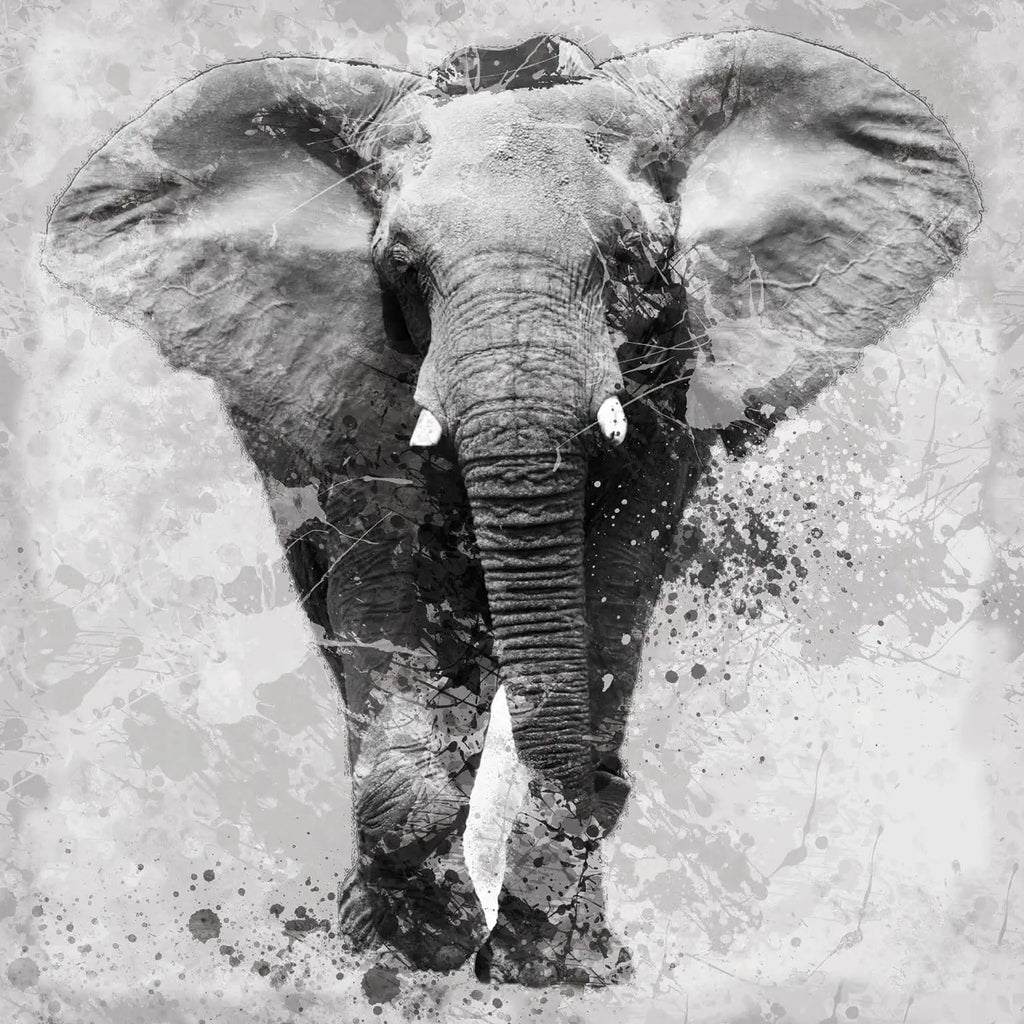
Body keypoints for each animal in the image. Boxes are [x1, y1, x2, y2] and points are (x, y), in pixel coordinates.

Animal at [42, 31, 980, 986]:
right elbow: (382, 571)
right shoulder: (357, 370)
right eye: (401, 266)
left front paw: (555, 962)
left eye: (635, 260)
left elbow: (615, 573)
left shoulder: (676, 361)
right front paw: (411, 942)